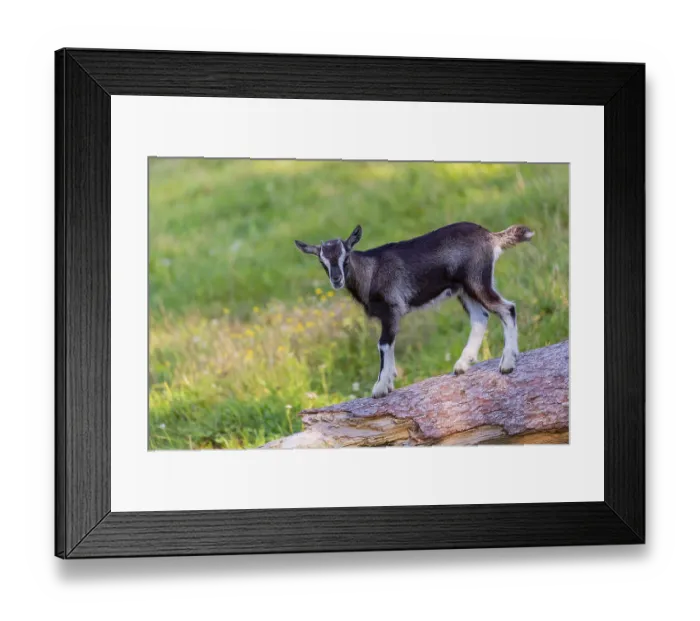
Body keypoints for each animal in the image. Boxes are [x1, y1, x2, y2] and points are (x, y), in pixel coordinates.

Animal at [295, 222, 534, 398]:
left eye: (345, 257)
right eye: (323, 261)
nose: (336, 279)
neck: (371, 271)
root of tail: (491, 236)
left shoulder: (392, 309)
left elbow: (383, 344)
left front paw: (380, 387)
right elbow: (388, 345)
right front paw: (389, 382)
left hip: (476, 280)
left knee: (507, 308)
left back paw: (507, 364)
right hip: (465, 289)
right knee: (480, 318)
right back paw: (461, 365)